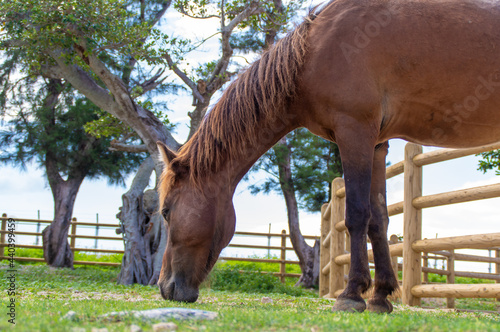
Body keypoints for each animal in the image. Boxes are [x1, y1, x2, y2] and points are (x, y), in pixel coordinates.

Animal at [158, 0, 500, 312]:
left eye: (165, 211)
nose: (164, 287)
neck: (312, 53)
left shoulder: (354, 132)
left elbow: (357, 214)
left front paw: (351, 294)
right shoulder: (377, 145)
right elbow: (378, 219)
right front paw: (379, 296)